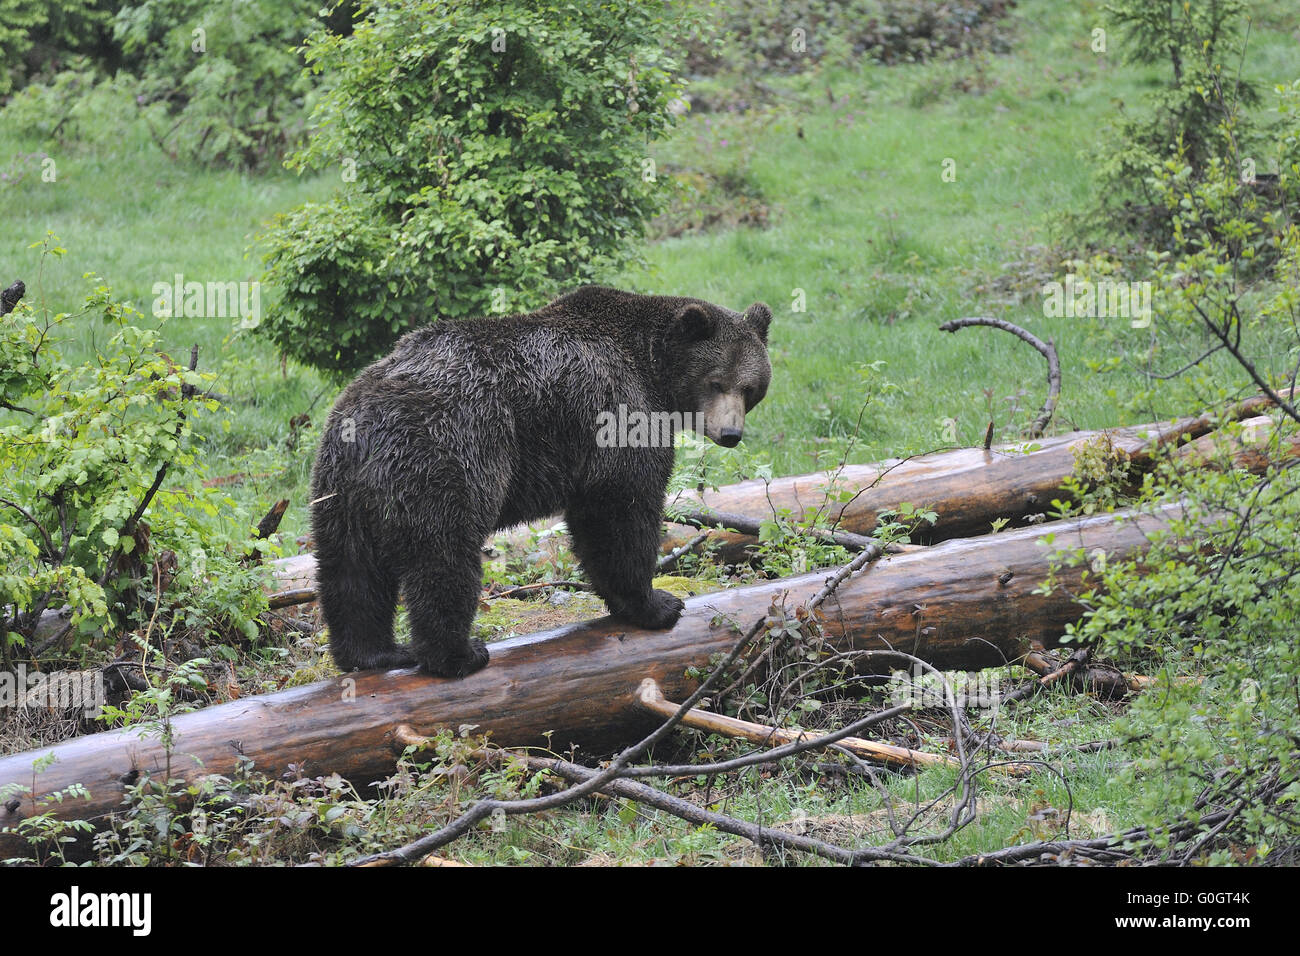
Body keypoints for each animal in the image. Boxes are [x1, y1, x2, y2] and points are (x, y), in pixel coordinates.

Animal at [308, 286, 764, 681]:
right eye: (716, 381)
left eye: (750, 388)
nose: (730, 433)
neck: (653, 371)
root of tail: (366, 423)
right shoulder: (617, 415)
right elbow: (622, 510)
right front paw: (657, 604)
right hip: (449, 453)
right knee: (444, 556)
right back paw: (458, 654)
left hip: (339, 488)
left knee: (349, 570)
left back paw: (373, 653)